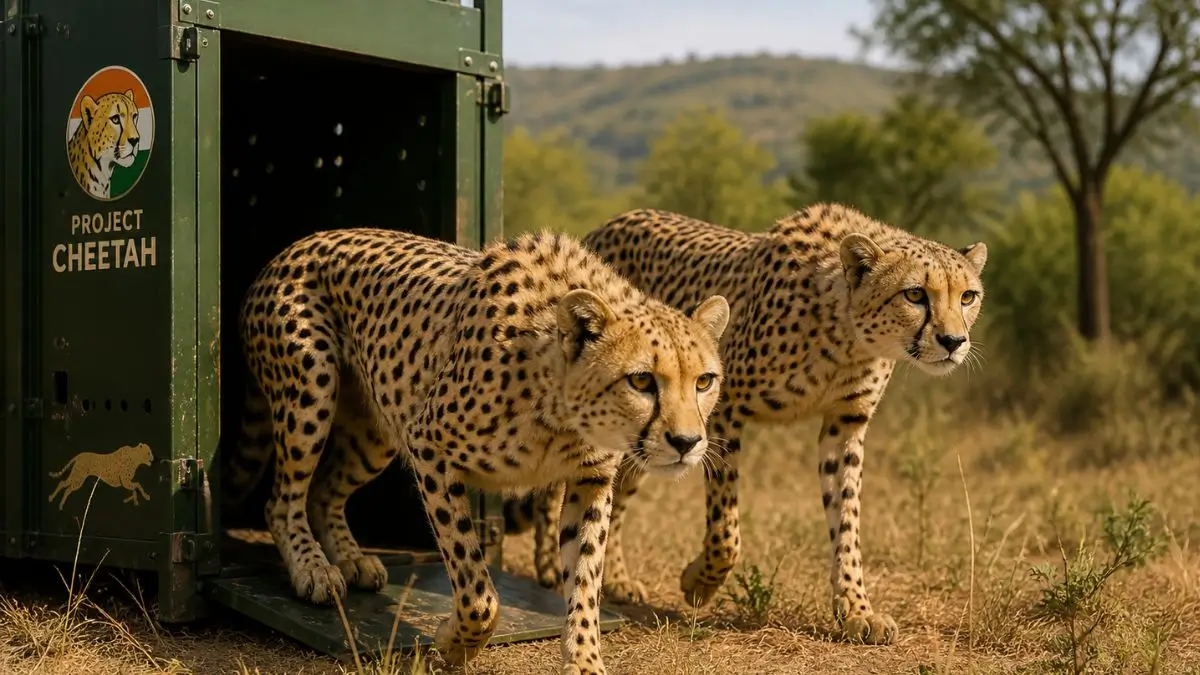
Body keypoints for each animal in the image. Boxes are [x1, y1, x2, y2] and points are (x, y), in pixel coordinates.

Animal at [221, 227, 730, 673]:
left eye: (704, 381)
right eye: (641, 381)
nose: (687, 442)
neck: (559, 408)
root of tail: (299, 243)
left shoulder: (590, 481)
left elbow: (585, 581)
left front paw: (585, 660)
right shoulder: (428, 445)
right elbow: (476, 587)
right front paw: (455, 644)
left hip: (377, 427)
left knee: (324, 491)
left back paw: (351, 558)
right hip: (312, 387)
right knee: (282, 498)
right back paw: (314, 569)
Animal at [505, 203, 987, 646]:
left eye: (968, 296)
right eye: (915, 294)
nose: (953, 341)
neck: (847, 332)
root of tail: (612, 223)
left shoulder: (845, 423)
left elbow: (846, 521)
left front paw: (856, 610)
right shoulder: (721, 410)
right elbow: (727, 529)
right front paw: (699, 582)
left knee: (618, 493)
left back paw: (616, 579)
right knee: (556, 488)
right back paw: (548, 567)